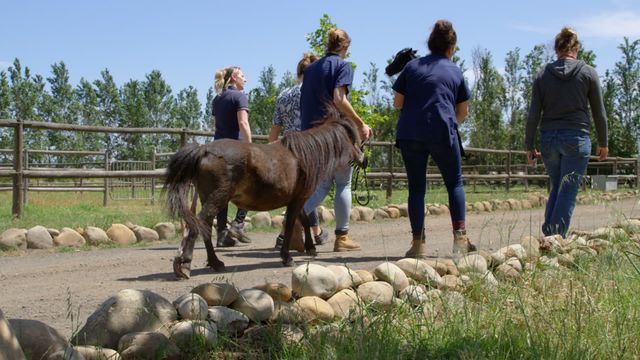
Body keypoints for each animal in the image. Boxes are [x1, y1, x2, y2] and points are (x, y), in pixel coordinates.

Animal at [162, 108, 362, 280]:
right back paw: (185, 265)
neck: (304, 156)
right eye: (352, 137)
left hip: (208, 199)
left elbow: (304, 220)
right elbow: (291, 225)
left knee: (204, 226)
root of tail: (204, 150)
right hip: (217, 199)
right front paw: (287, 257)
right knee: (198, 225)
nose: (363, 158)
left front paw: (310, 248)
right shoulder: (298, 199)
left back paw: (215, 263)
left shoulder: (297, 199)